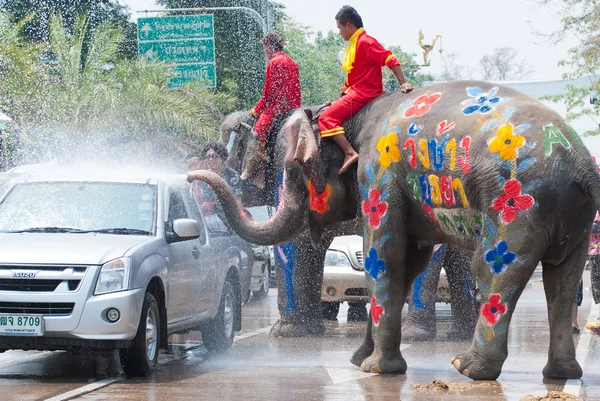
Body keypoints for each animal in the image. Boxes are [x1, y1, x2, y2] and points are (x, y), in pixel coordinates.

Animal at [191, 79, 600, 380]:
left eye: (292, 171)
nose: (192, 175)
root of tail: (581, 165)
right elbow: (407, 261)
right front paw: (359, 360)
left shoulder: (378, 174)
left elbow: (384, 256)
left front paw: (375, 368)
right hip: (577, 220)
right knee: (562, 281)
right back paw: (560, 373)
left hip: (516, 203)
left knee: (493, 271)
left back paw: (467, 367)